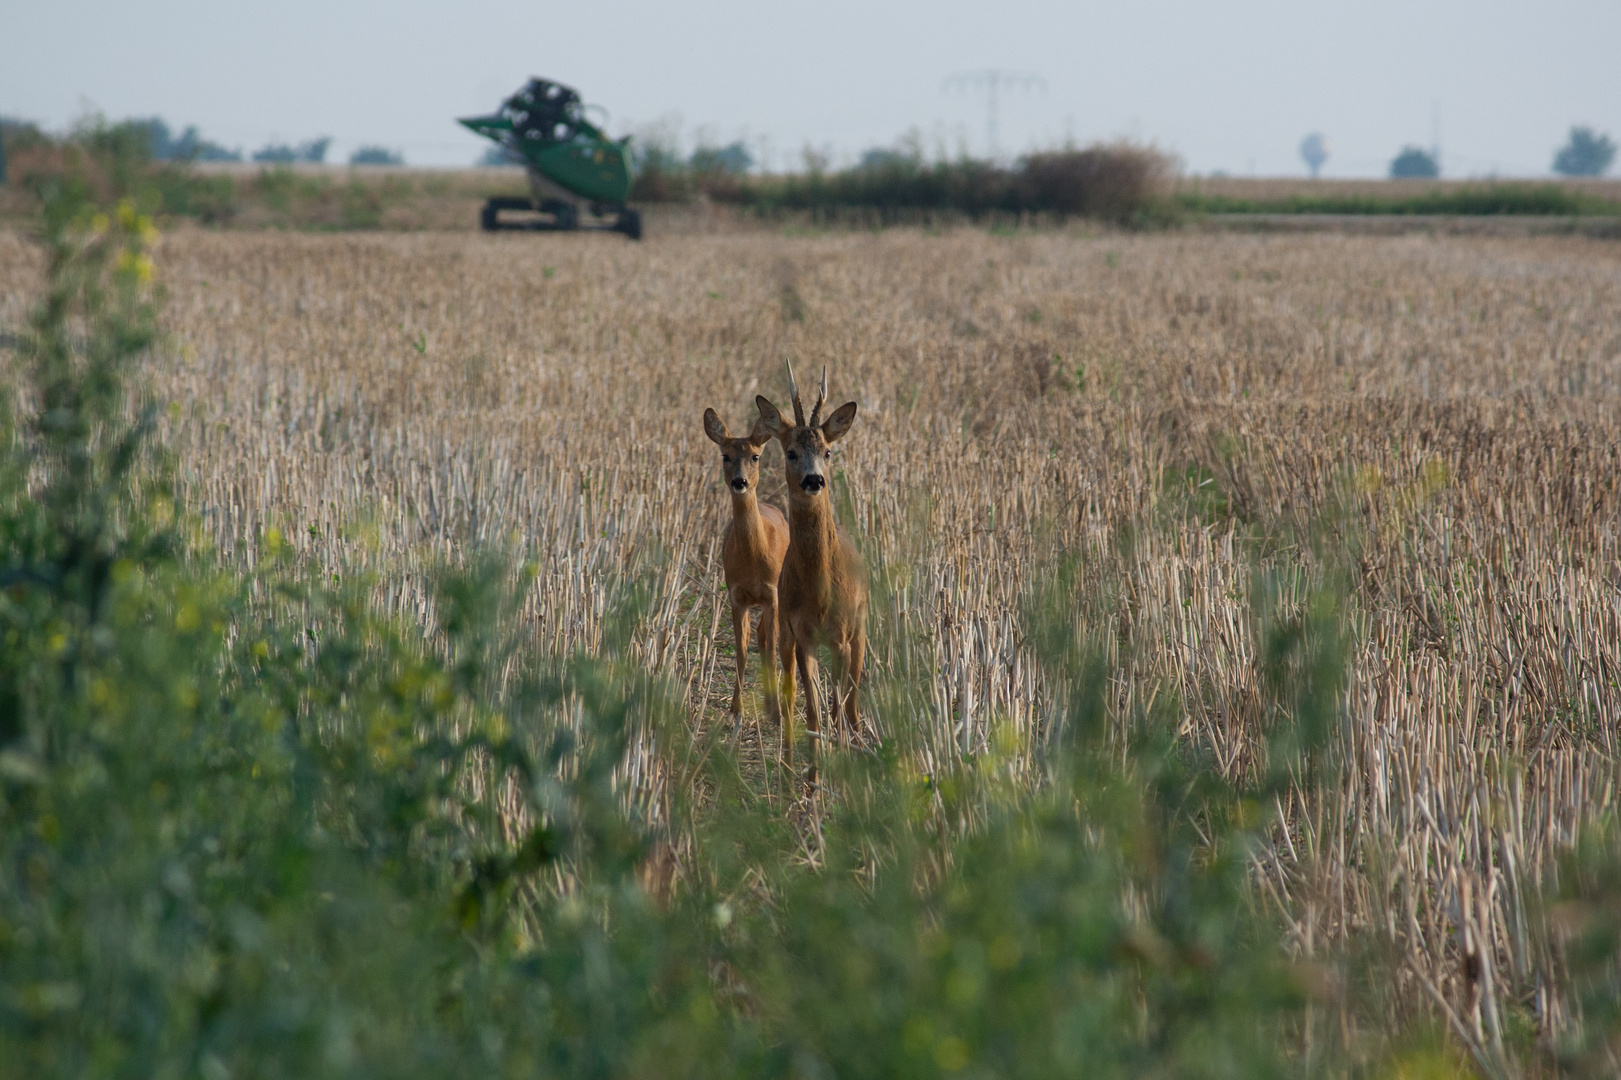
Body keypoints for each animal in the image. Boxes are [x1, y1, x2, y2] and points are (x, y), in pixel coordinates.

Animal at [703, 405, 791, 732]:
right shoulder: (737, 595)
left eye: (755, 456)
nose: (739, 482)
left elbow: (774, 647)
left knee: (769, 639)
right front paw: (735, 710)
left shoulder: (773, 594)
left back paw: (774, 705)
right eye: (725, 456)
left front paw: (777, 714)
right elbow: (741, 649)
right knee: (760, 635)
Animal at [755, 363, 868, 781]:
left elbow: (837, 707)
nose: (814, 480)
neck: (820, 595)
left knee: (851, 703)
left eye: (827, 451)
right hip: (786, 635)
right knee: (791, 698)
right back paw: (789, 764)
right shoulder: (802, 634)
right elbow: (814, 712)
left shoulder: (842, 636)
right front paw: (814, 778)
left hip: (860, 631)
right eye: (790, 452)